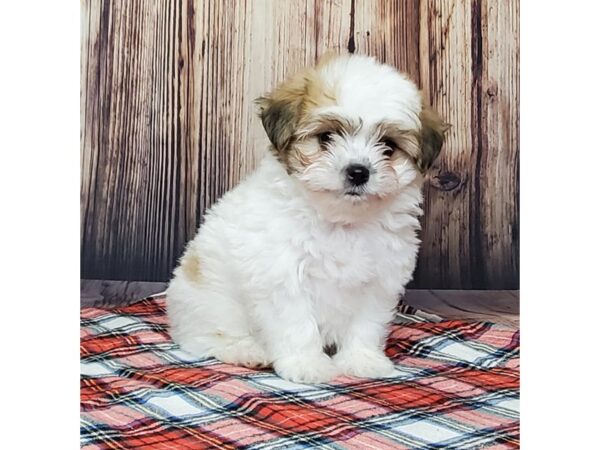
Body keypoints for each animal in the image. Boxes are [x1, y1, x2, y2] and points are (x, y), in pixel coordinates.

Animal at [166, 52, 448, 384]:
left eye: (388, 147)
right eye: (326, 137)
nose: (358, 172)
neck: (340, 222)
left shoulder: (380, 279)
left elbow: (366, 324)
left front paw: (362, 360)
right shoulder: (283, 276)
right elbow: (297, 325)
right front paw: (307, 364)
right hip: (207, 301)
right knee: (203, 337)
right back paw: (246, 351)